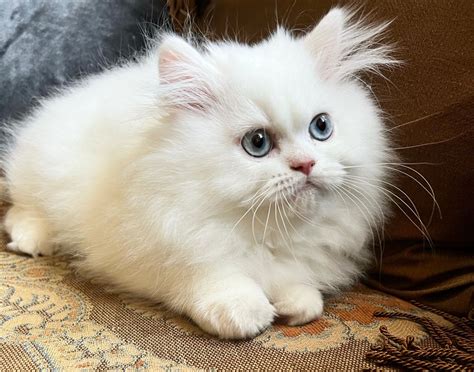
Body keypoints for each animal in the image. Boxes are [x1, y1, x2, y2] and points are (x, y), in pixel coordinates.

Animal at [1, 8, 396, 340]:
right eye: (257, 142)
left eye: (321, 127)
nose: (306, 164)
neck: (267, 232)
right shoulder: (148, 248)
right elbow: (207, 277)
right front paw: (244, 311)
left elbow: (301, 287)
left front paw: (296, 303)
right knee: (20, 210)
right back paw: (32, 241)